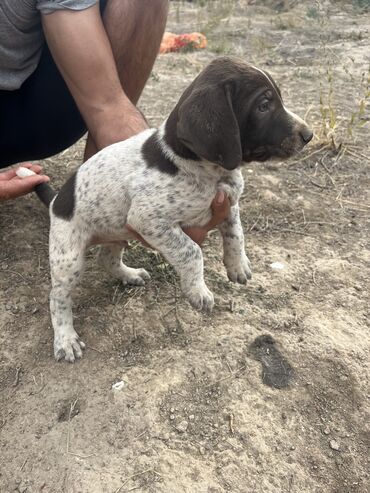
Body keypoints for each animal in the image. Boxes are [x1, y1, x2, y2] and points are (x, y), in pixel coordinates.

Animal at [31, 56, 312, 362]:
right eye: (264, 105)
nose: (309, 135)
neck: (202, 169)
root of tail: (57, 200)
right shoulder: (148, 220)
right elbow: (192, 251)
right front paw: (198, 290)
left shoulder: (229, 202)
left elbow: (236, 234)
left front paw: (238, 265)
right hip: (68, 257)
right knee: (58, 297)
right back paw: (65, 338)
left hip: (116, 233)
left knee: (107, 259)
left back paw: (129, 274)